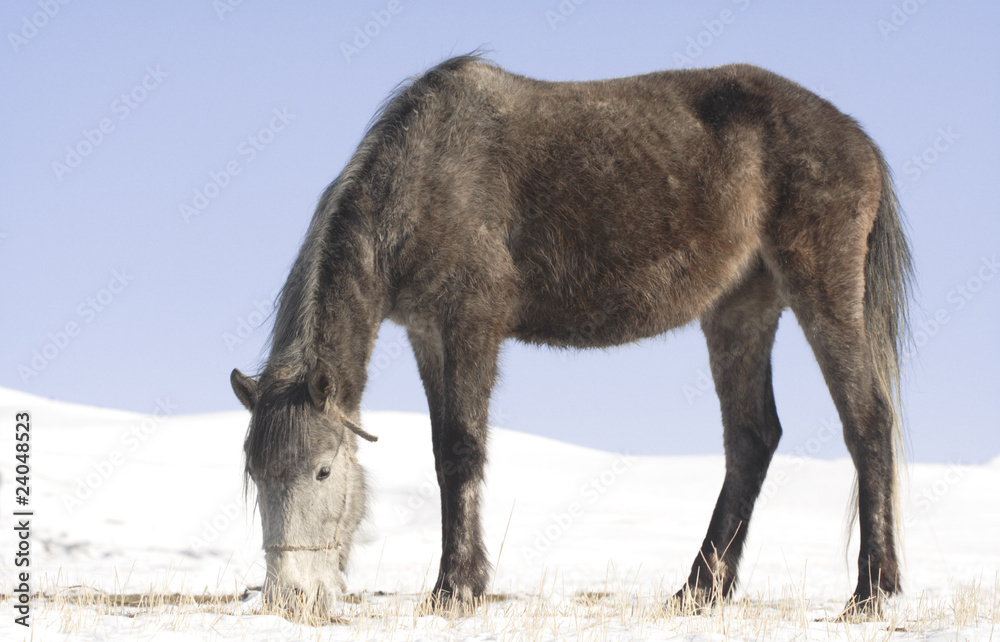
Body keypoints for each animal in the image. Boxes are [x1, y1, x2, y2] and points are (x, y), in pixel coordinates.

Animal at [230, 54, 912, 615]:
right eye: (255, 475)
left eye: (322, 471)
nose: (289, 597)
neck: (426, 175)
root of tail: (857, 140)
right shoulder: (428, 333)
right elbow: (443, 453)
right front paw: (460, 581)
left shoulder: (470, 324)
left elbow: (460, 450)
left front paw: (456, 588)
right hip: (740, 309)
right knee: (751, 439)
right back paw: (700, 590)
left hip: (821, 288)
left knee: (866, 421)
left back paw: (870, 591)